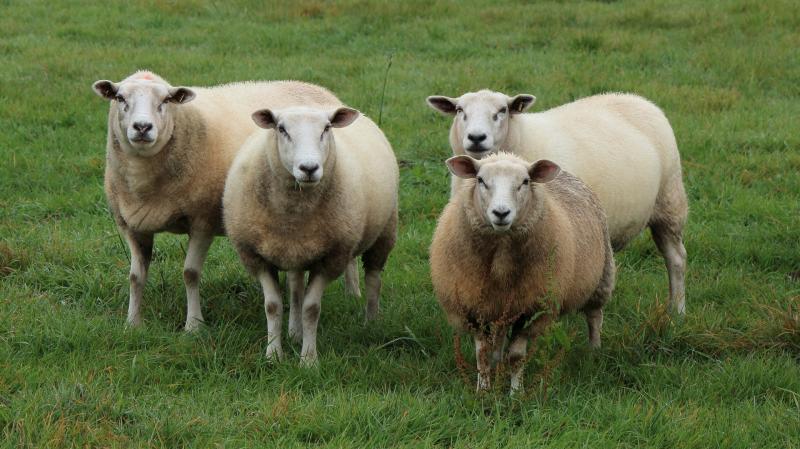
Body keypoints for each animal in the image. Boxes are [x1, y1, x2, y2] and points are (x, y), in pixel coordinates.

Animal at [92, 70, 349, 331]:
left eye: (165, 101)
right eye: (120, 98)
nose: (142, 127)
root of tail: (318, 89)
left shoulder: (203, 221)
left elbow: (190, 273)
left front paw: (194, 325)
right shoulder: (132, 225)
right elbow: (135, 276)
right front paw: (132, 323)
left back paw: (353, 296)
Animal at [223, 106, 399, 366]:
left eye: (326, 128)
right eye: (281, 129)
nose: (309, 168)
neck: (294, 214)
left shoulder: (331, 258)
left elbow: (311, 308)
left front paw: (308, 360)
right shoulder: (255, 256)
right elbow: (273, 305)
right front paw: (273, 355)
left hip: (385, 231)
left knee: (374, 279)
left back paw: (371, 323)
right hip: (296, 251)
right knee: (296, 287)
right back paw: (294, 332)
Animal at [427, 90, 687, 314]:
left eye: (502, 110)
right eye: (460, 110)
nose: (476, 137)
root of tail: (638, 98)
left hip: (670, 202)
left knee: (676, 259)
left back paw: (677, 311)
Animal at [429, 152, 615, 393]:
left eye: (525, 182)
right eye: (480, 180)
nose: (501, 213)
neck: (501, 262)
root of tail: (565, 173)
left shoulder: (531, 309)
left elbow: (516, 357)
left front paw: (516, 393)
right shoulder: (475, 307)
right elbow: (482, 354)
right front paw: (483, 390)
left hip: (601, 278)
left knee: (594, 317)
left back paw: (594, 351)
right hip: (500, 306)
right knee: (498, 340)